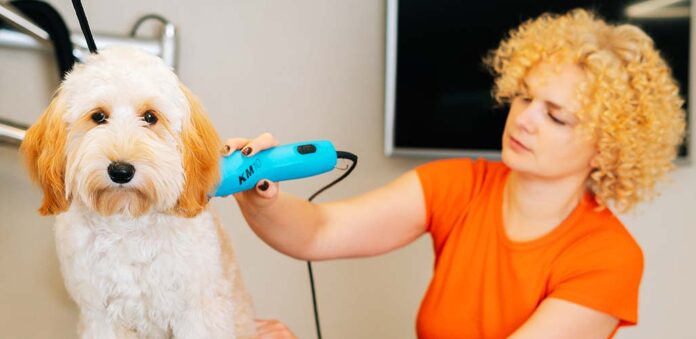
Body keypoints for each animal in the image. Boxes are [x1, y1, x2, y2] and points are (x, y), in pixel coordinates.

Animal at [21, 47, 256, 339]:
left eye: (150, 117)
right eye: (98, 116)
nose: (121, 171)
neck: (127, 224)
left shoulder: (198, 314)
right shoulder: (99, 317)